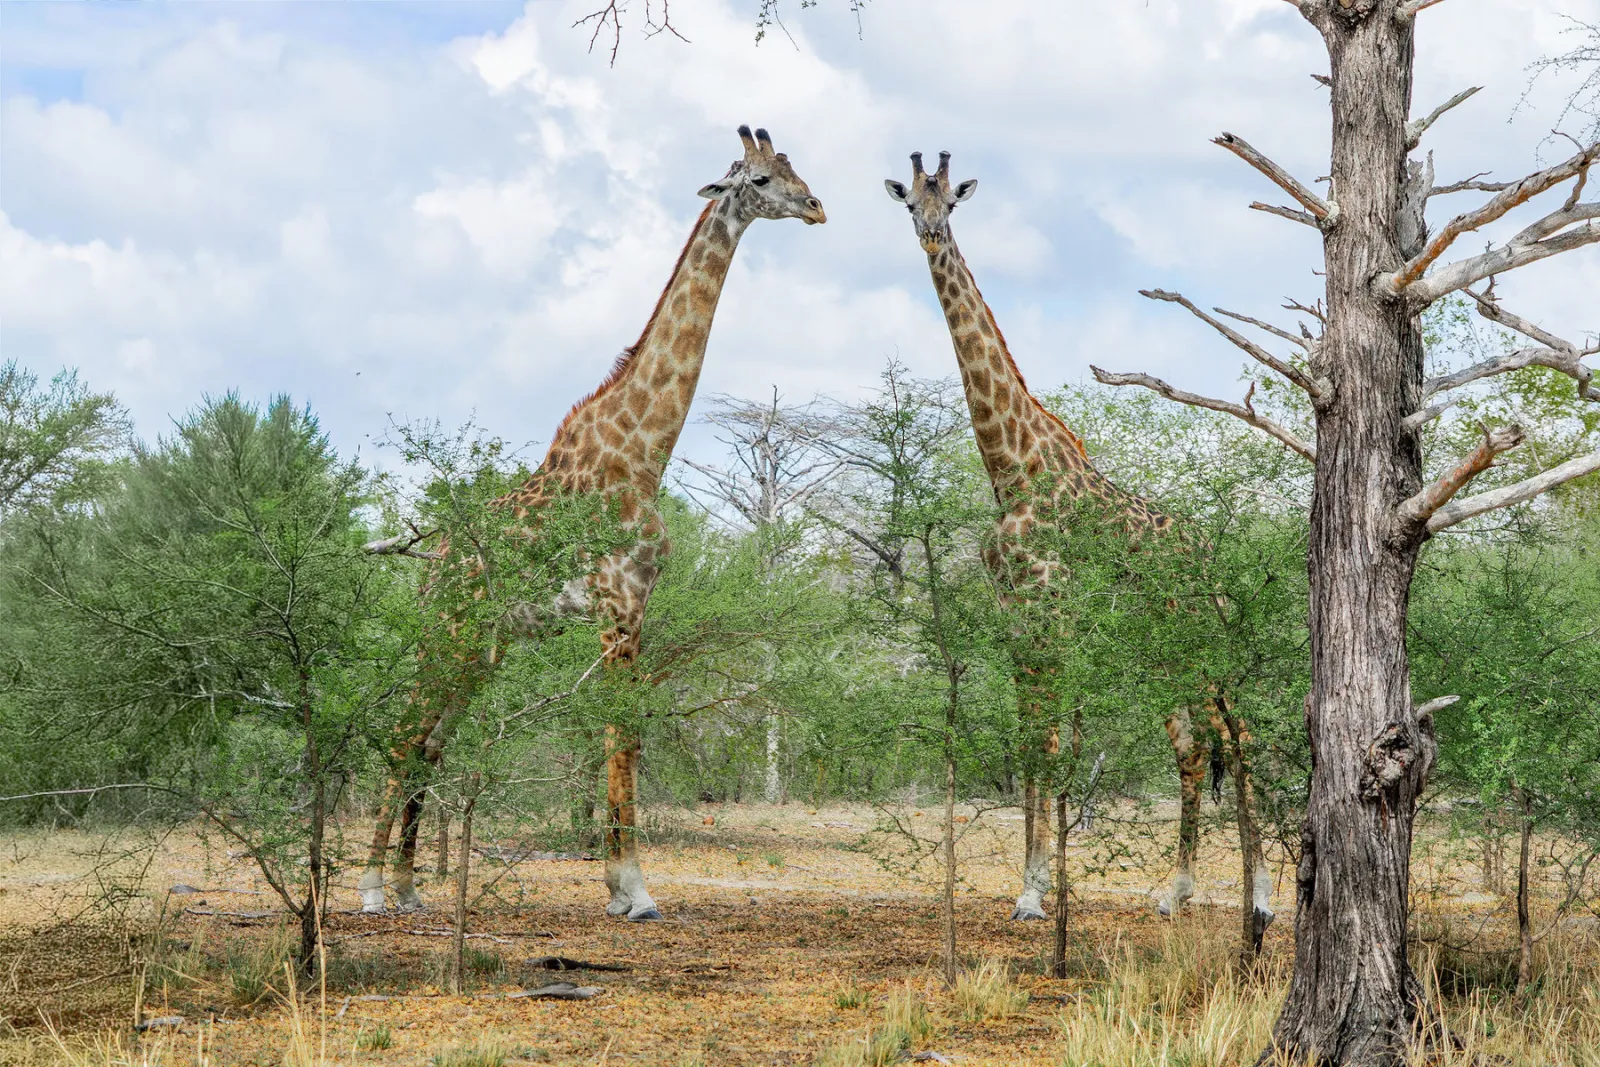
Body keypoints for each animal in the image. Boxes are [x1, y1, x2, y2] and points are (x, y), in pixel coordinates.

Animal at [358, 126, 825, 920]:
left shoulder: (640, 603)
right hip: (447, 636)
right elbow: (622, 734)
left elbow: (623, 732)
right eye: (762, 178)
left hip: (480, 649)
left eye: (794, 166)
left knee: (430, 742)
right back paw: (366, 888)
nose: (818, 207)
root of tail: (431, 567)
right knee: (403, 733)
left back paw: (409, 887)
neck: (643, 452)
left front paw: (619, 884)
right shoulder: (617, 602)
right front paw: (633, 889)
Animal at [884, 151, 1272, 942]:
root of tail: (1216, 565)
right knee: (1192, 750)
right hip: (1161, 655)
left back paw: (1263, 896)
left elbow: (1049, 745)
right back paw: (1175, 892)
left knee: (1241, 737)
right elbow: (1031, 743)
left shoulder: (1052, 615)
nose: (931, 234)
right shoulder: (1018, 621)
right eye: (909, 201)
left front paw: (1036, 894)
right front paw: (1030, 888)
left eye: (952, 203)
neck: (1012, 470)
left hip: (1203, 646)